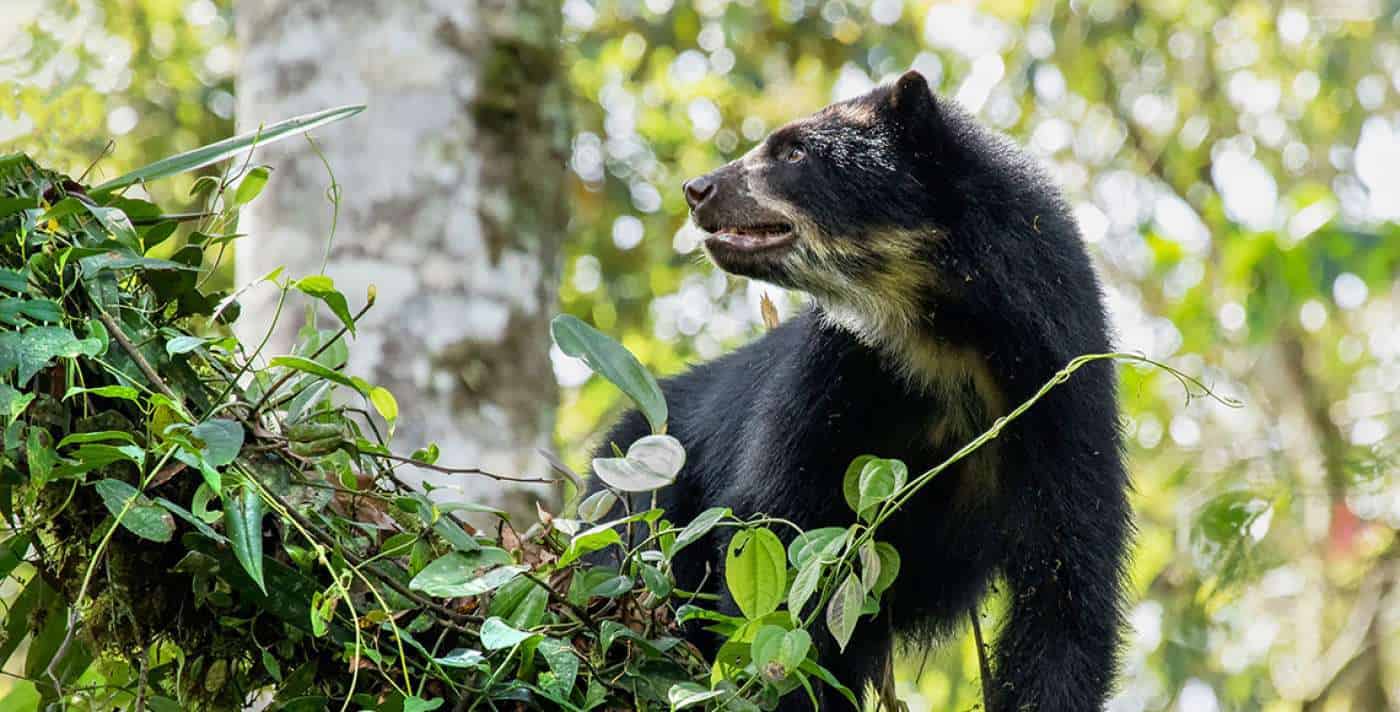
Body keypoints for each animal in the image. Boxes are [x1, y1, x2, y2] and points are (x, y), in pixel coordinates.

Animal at [588, 67, 1125, 710]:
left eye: (794, 152)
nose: (697, 188)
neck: (946, 338)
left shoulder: (1062, 395)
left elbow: (1067, 590)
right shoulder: (833, 375)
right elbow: (780, 536)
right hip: (640, 491)